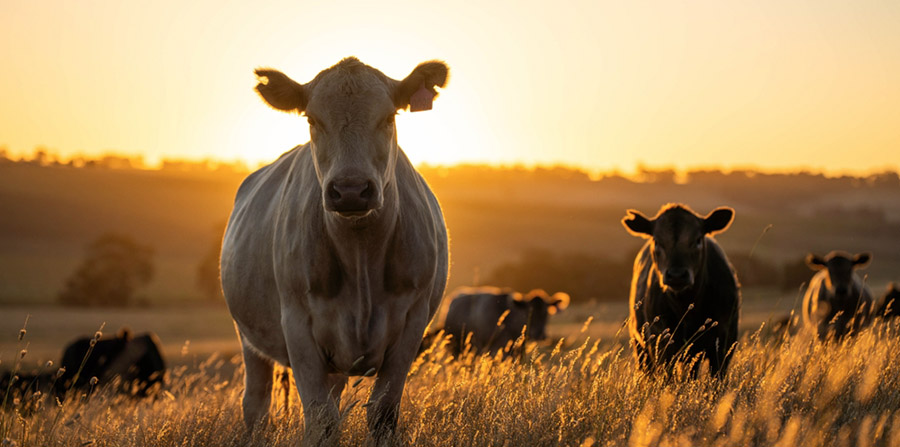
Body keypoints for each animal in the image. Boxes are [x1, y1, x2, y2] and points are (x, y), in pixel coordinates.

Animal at [219, 57, 450, 444]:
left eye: (389, 118)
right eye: (312, 120)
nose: (351, 190)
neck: (360, 256)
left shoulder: (411, 323)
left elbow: (382, 414)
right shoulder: (297, 325)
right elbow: (321, 420)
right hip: (248, 337)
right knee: (256, 404)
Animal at [624, 204, 740, 378]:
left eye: (698, 240)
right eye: (657, 241)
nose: (676, 275)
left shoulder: (724, 342)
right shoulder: (661, 341)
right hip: (641, 345)